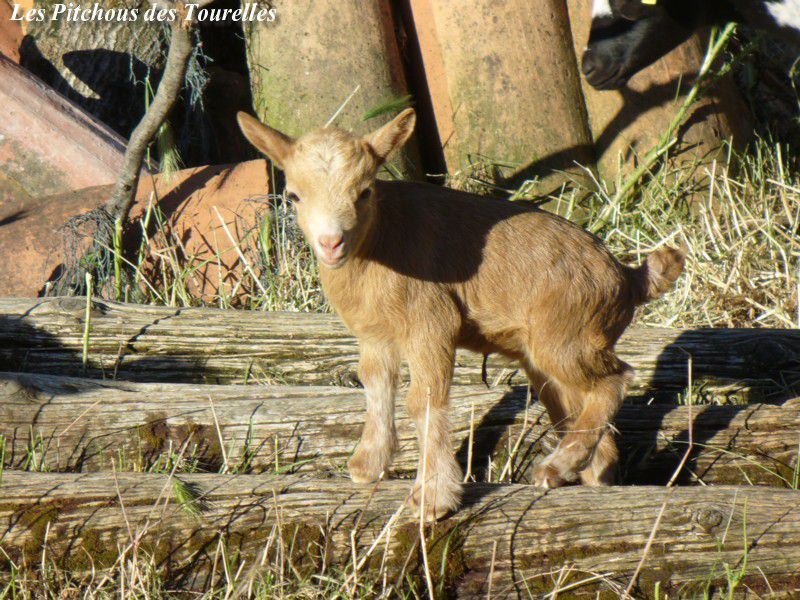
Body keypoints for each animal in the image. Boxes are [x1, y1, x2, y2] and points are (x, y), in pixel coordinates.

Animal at [234, 109, 684, 520]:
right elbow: (376, 386)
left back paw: (555, 465)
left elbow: (422, 401)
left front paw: (432, 499)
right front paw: (368, 465)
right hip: (549, 356)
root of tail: (628, 277)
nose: (331, 243)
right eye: (293, 196)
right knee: (583, 411)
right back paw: (575, 473)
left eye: (364, 191)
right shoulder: (375, 335)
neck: (378, 241)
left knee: (614, 380)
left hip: (567, 336)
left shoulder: (430, 323)